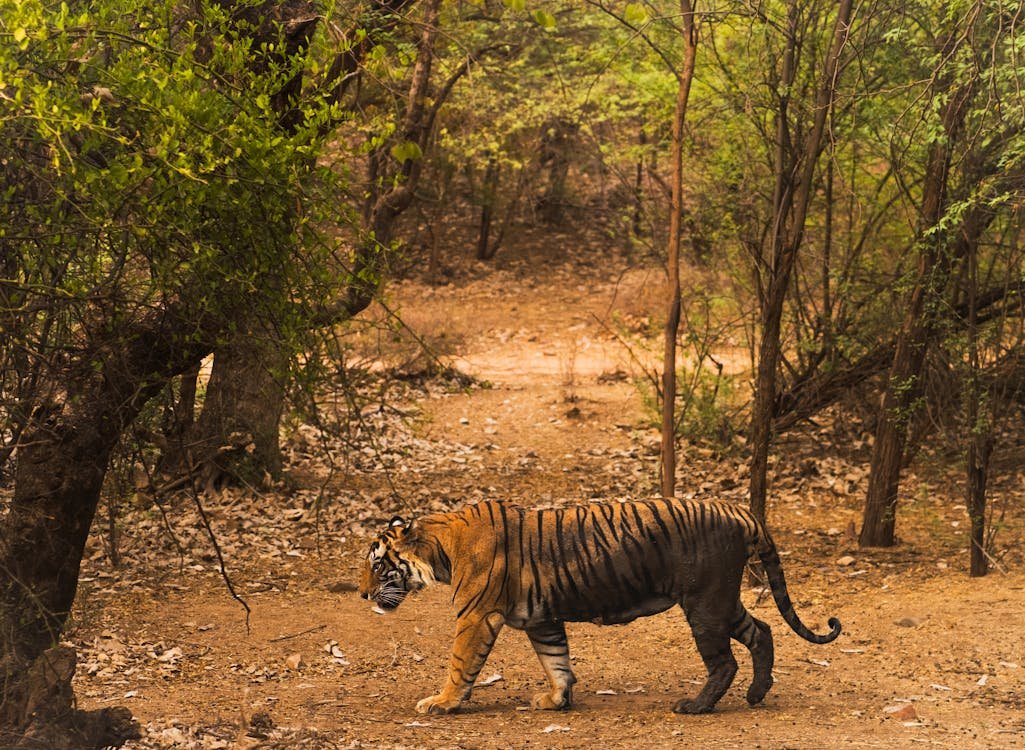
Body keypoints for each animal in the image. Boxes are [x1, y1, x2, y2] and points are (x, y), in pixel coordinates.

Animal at [356, 497, 836, 713]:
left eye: (378, 566)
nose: (361, 594)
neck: (441, 548)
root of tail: (739, 509)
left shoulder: (476, 616)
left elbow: (460, 663)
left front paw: (442, 702)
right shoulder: (541, 618)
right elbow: (556, 660)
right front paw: (556, 699)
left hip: (705, 605)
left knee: (724, 661)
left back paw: (696, 706)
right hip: (722, 601)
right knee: (763, 631)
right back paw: (757, 693)